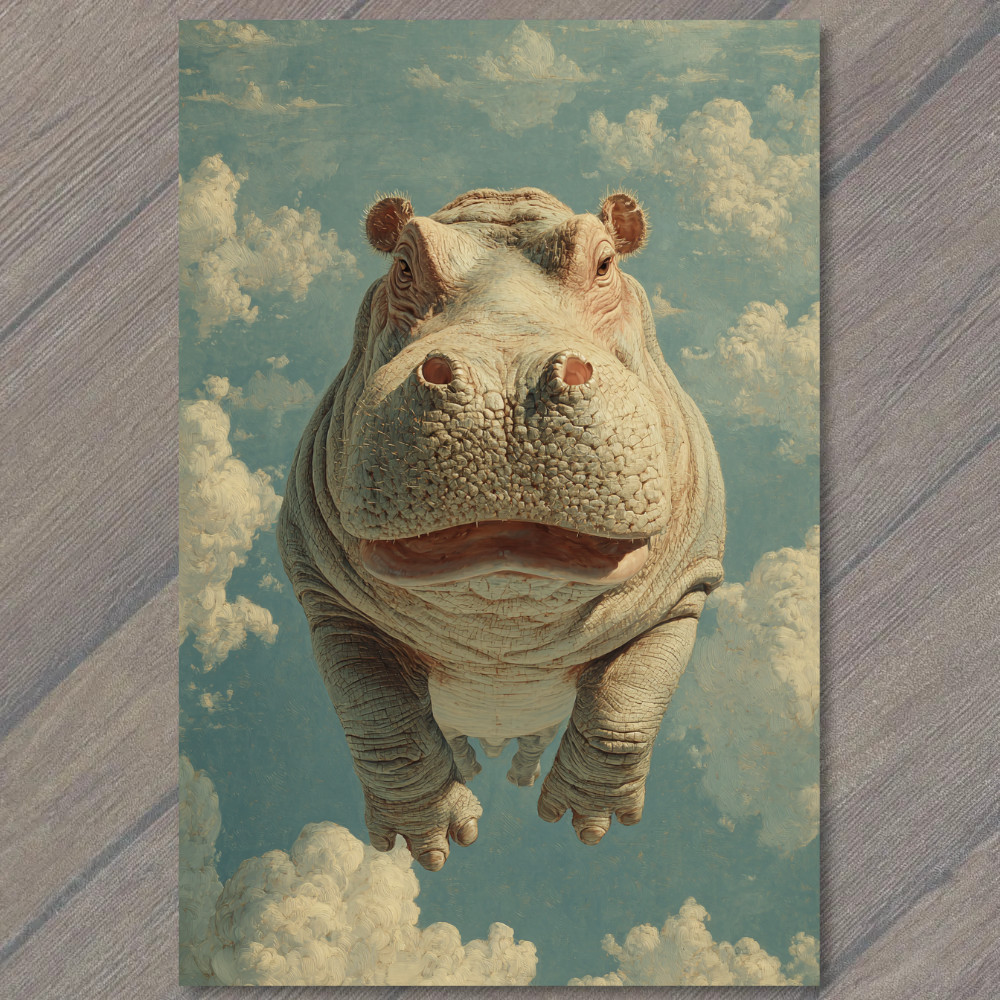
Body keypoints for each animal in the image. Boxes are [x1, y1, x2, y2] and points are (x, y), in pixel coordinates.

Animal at [277, 187, 725, 872]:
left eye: (605, 262)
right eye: (403, 263)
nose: (505, 379)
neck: (501, 628)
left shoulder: (686, 587)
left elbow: (625, 705)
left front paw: (584, 820)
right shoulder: (324, 591)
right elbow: (378, 716)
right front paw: (425, 842)